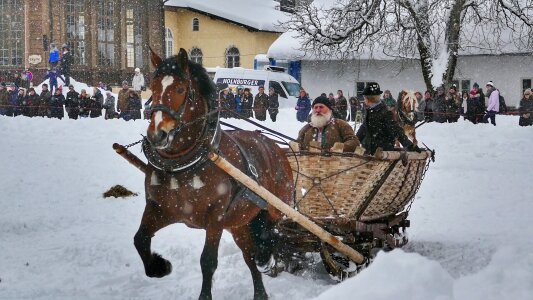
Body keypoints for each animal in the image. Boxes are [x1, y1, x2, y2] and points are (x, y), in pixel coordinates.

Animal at [132, 48, 290, 298]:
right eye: (153, 86)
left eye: (180, 89)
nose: (157, 135)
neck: (185, 163)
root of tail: (277, 149)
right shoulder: (159, 208)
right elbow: (140, 239)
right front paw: (159, 266)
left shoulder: (215, 217)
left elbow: (208, 261)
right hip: (239, 222)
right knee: (249, 254)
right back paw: (260, 291)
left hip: (278, 207)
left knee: (274, 232)